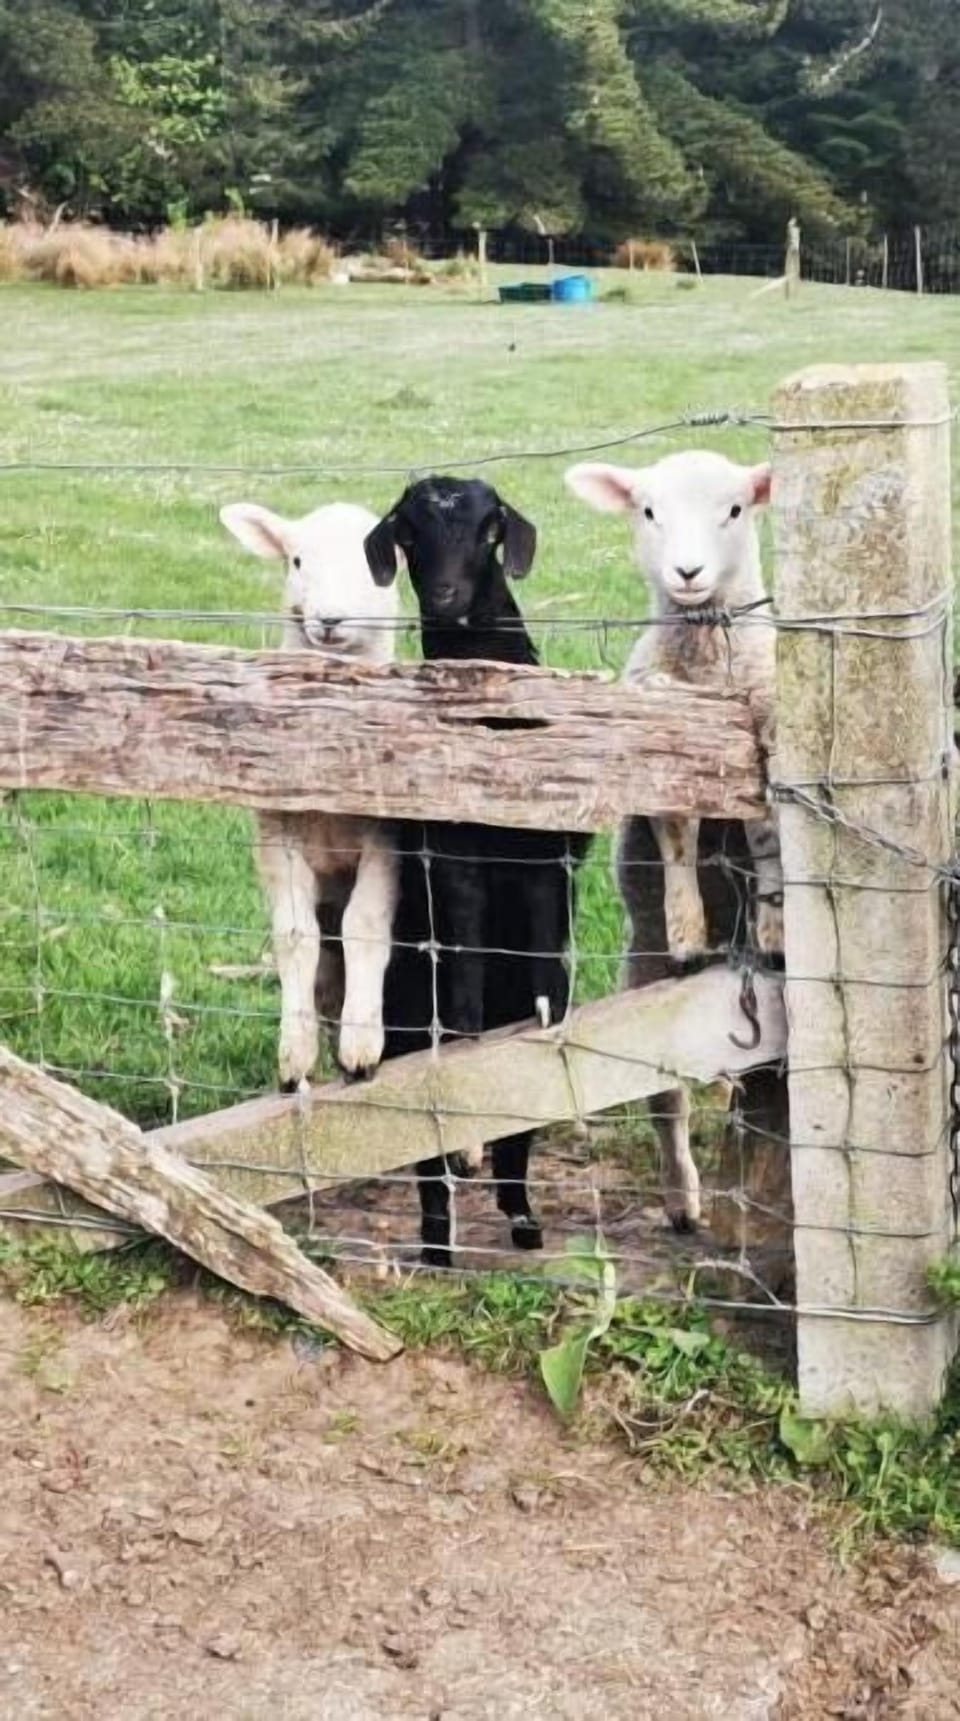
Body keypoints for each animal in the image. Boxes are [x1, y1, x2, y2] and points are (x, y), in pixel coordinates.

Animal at [220, 500, 401, 1087]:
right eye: (296, 560)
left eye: (380, 562)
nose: (330, 618)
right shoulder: (277, 835)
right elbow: (296, 936)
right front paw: (294, 1056)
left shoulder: (386, 837)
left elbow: (362, 926)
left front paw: (362, 1046)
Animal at [365, 476, 590, 1267]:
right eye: (407, 530)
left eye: (490, 529)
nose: (446, 596)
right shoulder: (453, 852)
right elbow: (461, 939)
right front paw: (463, 1027)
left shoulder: (548, 849)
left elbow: (547, 936)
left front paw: (551, 1011)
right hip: (402, 1018)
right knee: (431, 1152)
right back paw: (439, 1245)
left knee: (513, 1135)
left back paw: (523, 1222)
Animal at [564, 450, 782, 1230]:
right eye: (648, 510)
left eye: (735, 509)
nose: (687, 572)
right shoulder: (663, 745)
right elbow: (678, 834)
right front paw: (690, 922)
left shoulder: (766, 716)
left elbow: (765, 829)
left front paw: (777, 918)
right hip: (642, 964)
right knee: (665, 1095)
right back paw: (683, 1198)